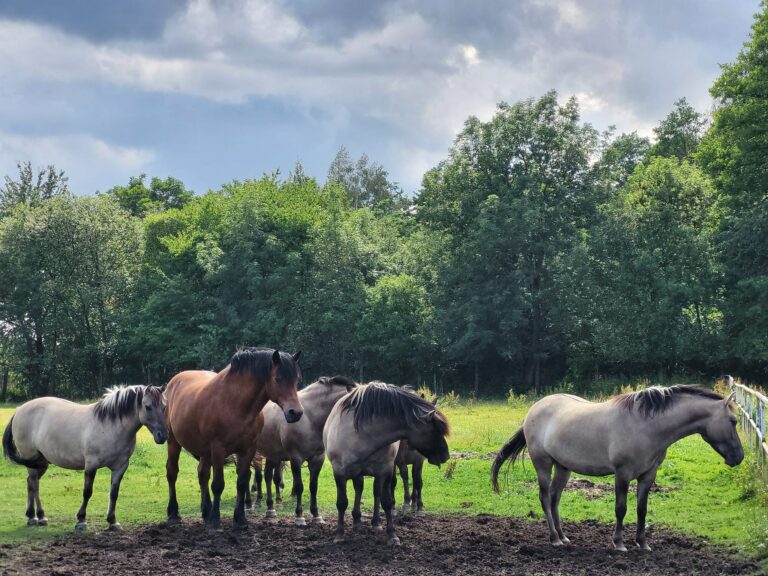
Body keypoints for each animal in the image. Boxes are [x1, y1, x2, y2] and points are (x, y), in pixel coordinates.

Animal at [1, 388, 166, 532]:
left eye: (164, 407)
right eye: (148, 407)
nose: (162, 436)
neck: (110, 426)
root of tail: (19, 409)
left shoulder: (120, 467)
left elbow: (114, 493)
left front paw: (113, 522)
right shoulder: (91, 465)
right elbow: (87, 492)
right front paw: (81, 521)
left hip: (40, 463)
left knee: (30, 482)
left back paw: (33, 517)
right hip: (32, 460)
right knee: (34, 484)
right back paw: (39, 517)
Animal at [165, 348, 304, 528]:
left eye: (296, 380)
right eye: (277, 379)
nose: (296, 412)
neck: (235, 404)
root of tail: (174, 381)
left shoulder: (248, 450)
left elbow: (242, 482)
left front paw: (240, 518)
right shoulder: (218, 449)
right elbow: (218, 485)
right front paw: (216, 519)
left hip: (205, 451)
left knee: (202, 474)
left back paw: (206, 511)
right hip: (173, 442)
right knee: (172, 472)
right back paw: (174, 512)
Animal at [252, 376, 360, 524]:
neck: (309, 418)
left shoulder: (318, 459)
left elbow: (313, 486)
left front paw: (316, 515)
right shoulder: (296, 459)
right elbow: (299, 487)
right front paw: (299, 516)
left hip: (273, 455)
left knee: (268, 476)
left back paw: (270, 509)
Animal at [322, 382, 450, 544]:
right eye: (435, 430)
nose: (446, 456)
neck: (363, 436)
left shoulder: (385, 471)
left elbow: (387, 502)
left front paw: (392, 535)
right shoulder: (339, 473)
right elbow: (342, 503)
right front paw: (339, 534)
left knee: (375, 492)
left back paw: (375, 522)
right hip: (357, 473)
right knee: (359, 489)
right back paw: (357, 521)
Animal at [492, 384, 744, 552]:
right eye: (733, 421)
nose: (739, 457)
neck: (647, 426)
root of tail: (534, 410)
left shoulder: (648, 475)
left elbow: (642, 509)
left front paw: (643, 543)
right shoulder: (622, 474)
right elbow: (621, 509)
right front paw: (619, 543)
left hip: (563, 468)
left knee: (555, 499)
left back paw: (564, 538)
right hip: (543, 464)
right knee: (545, 498)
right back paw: (554, 538)